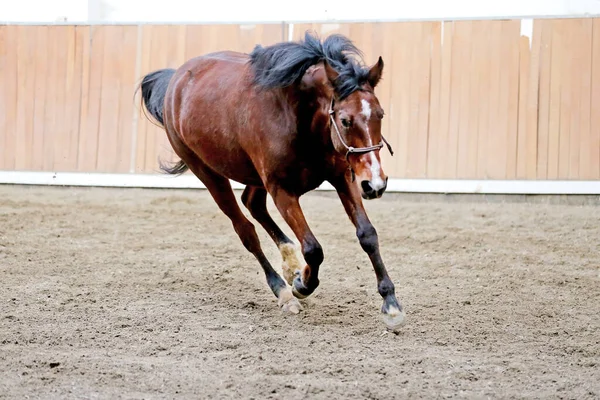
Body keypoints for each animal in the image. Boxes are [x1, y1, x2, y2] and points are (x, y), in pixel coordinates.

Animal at [138, 31, 406, 330]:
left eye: (380, 114)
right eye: (346, 120)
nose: (376, 184)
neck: (297, 116)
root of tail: (174, 80)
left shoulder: (343, 178)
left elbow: (367, 235)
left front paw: (391, 303)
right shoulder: (282, 191)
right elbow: (313, 249)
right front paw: (302, 284)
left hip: (255, 177)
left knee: (252, 204)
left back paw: (290, 265)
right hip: (209, 174)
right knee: (246, 230)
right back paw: (283, 290)